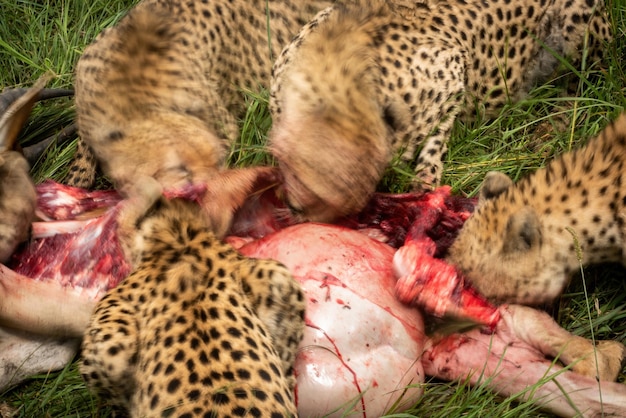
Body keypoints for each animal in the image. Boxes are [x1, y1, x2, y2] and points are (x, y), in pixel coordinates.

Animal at [270, 0, 608, 224]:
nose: (298, 212)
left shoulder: (454, 69)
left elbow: (437, 136)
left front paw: (424, 183)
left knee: (584, 82)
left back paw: (556, 125)